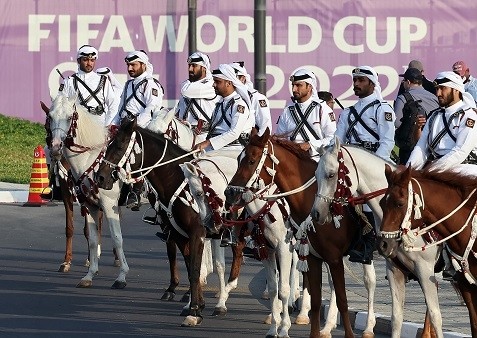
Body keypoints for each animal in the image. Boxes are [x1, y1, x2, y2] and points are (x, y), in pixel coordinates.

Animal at [42, 93, 127, 290]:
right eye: (49, 117)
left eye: (69, 118)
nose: (55, 148)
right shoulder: (87, 203)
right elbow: (88, 236)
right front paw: (87, 272)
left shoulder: (109, 204)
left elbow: (117, 237)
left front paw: (121, 276)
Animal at [94, 117, 244, 326]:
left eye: (120, 145)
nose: (100, 177)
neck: (180, 183)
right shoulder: (179, 234)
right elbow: (191, 270)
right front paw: (195, 306)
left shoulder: (197, 234)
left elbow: (196, 269)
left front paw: (194, 311)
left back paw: (225, 299)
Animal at [225, 128, 378, 336]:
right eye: (239, 159)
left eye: (251, 160)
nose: (230, 193)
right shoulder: (272, 250)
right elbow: (274, 288)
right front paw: (274, 326)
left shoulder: (287, 248)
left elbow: (284, 288)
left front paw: (284, 328)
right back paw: (327, 325)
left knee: (369, 281)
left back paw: (368, 327)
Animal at [312, 138, 442, 338]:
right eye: (316, 174)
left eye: (331, 175)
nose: (317, 213)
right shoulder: (393, 267)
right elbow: (396, 317)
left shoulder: (424, 267)